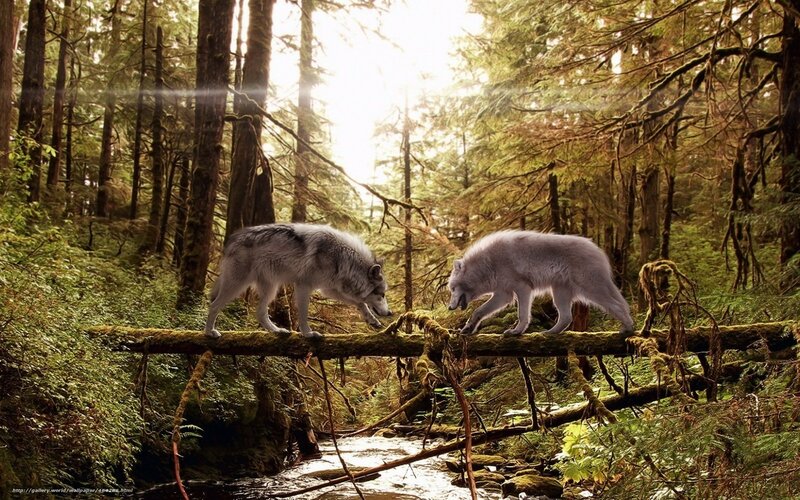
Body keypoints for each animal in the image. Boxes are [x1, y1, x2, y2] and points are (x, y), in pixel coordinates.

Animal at [204, 223, 392, 339]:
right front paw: (308, 334)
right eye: (382, 294)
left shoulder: (329, 289)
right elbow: (303, 314)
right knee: (213, 306)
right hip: (236, 286)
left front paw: (372, 320)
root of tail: (232, 240)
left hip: (271, 289)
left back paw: (277, 330)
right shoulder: (304, 286)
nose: (390, 313)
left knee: (260, 313)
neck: (342, 257)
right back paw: (209, 332)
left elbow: (360, 303)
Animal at [447, 230, 634, 336]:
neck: (487, 264)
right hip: (559, 294)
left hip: (591, 290)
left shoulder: (522, 289)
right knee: (566, 317)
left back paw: (628, 328)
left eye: (452, 288)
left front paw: (516, 332)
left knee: (618, 306)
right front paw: (468, 329)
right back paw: (550, 333)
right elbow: (478, 312)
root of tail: (599, 251)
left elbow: (522, 315)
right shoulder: (503, 294)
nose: (449, 307)